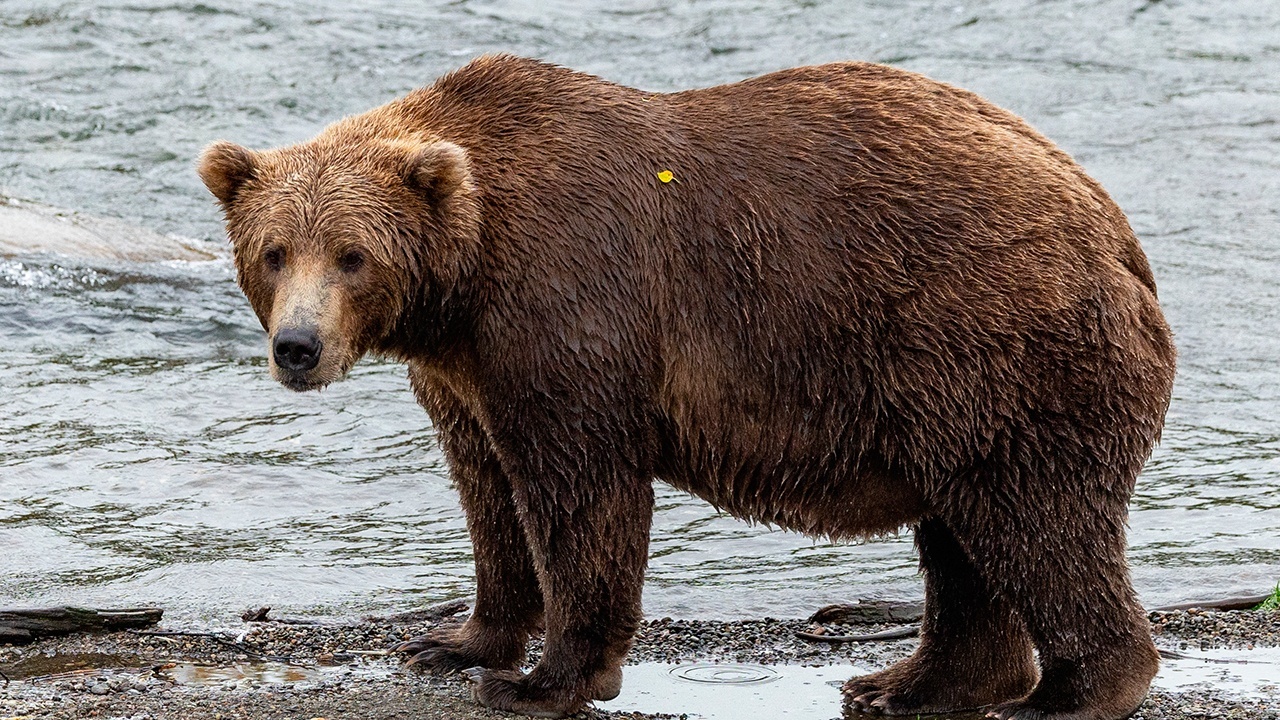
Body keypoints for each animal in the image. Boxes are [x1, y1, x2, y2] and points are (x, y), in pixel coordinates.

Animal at [197, 54, 1176, 720]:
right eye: (274, 250)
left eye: (351, 255)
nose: (298, 347)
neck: (465, 282)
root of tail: (1119, 235)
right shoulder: (464, 371)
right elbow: (486, 494)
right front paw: (454, 642)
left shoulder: (570, 307)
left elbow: (580, 493)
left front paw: (543, 680)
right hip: (950, 393)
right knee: (964, 534)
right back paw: (908, 682)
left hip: (992, 342)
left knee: (1032, 521)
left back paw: (1063, 693)